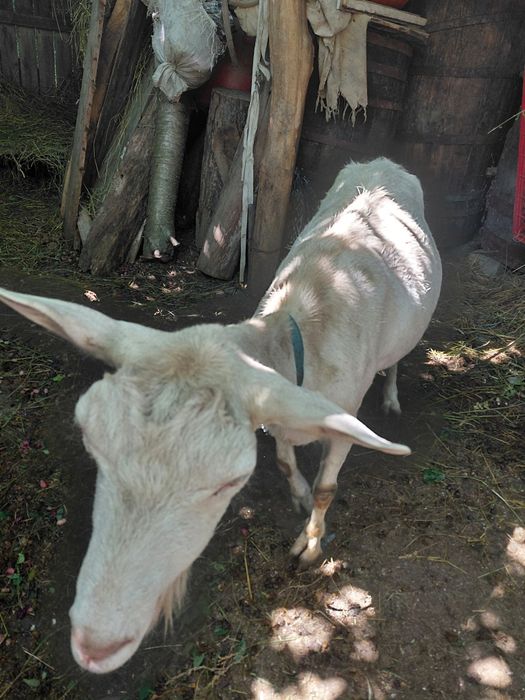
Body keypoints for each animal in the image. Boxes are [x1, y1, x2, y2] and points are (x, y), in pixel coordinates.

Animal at [0, 157, 442, 674]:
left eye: (229, 482)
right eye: (91, 442)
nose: (95, 646)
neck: (299, 332)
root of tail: (381, 163)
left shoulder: (343, 418)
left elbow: (328, 489)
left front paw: (309, 547)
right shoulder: (280, 409)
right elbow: (286, 461)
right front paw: (297, 495)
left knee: (397, 360)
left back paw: (391, 397)